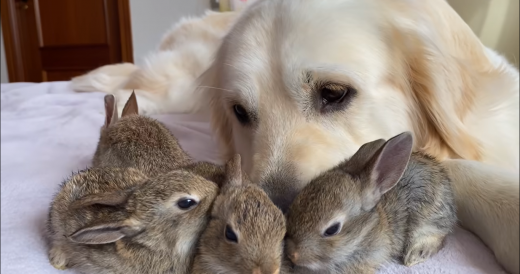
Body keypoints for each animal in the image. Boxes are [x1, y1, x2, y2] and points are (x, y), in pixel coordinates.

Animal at [284, 132, 456, 272]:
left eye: (332, 230)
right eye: (292, 209)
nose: (292, 254)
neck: (364, 233)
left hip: (429, 217)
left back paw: (415, 255)